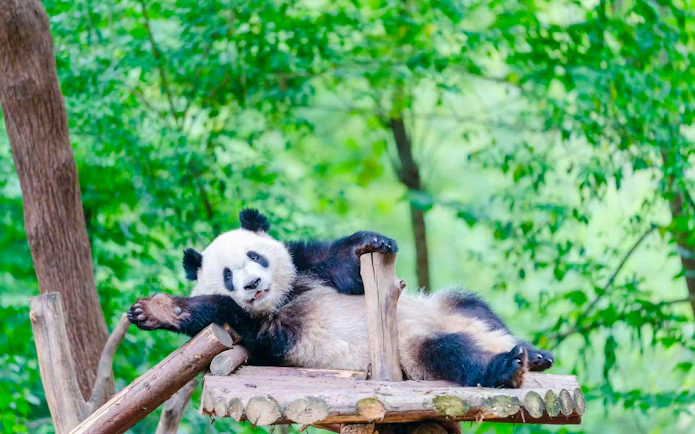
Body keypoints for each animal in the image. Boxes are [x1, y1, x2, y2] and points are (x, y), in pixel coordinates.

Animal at [128, 209, 554, 388]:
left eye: (255, 256)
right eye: (228, 275)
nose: (253, 284)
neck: (282, 298)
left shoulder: (307, 265)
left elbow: (343, 266)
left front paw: (373, 241)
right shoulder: (267, 334)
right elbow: (228, 313)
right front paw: (155, 310)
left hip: (448, 307)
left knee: (476, 307)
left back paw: (533, 354)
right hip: (411, 350)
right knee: (450, 354)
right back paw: (507, 365)